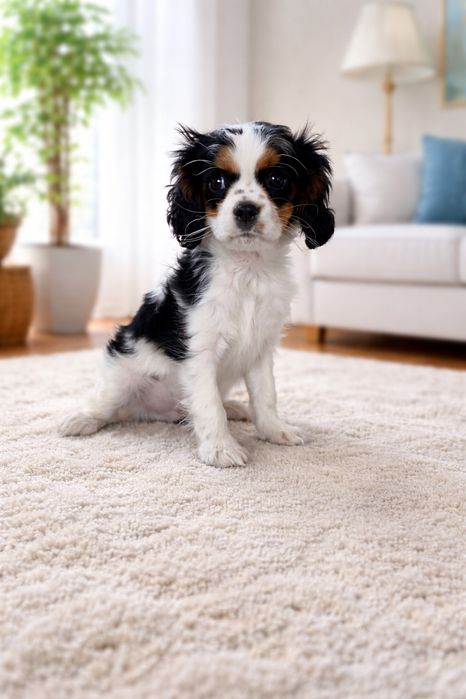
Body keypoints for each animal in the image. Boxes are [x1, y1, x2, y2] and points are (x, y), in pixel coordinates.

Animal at [60, 121, 334, 466]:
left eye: (277, 179)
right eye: (216, 182)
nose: (246, 210)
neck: (247, 269)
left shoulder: (260, 349)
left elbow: (266, 396)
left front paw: (275, 431)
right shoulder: (199, 350)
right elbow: (208, 405)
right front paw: (220, 449)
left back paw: (233, 407)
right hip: (120, 374)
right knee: (105, 404)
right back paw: (81, 420)